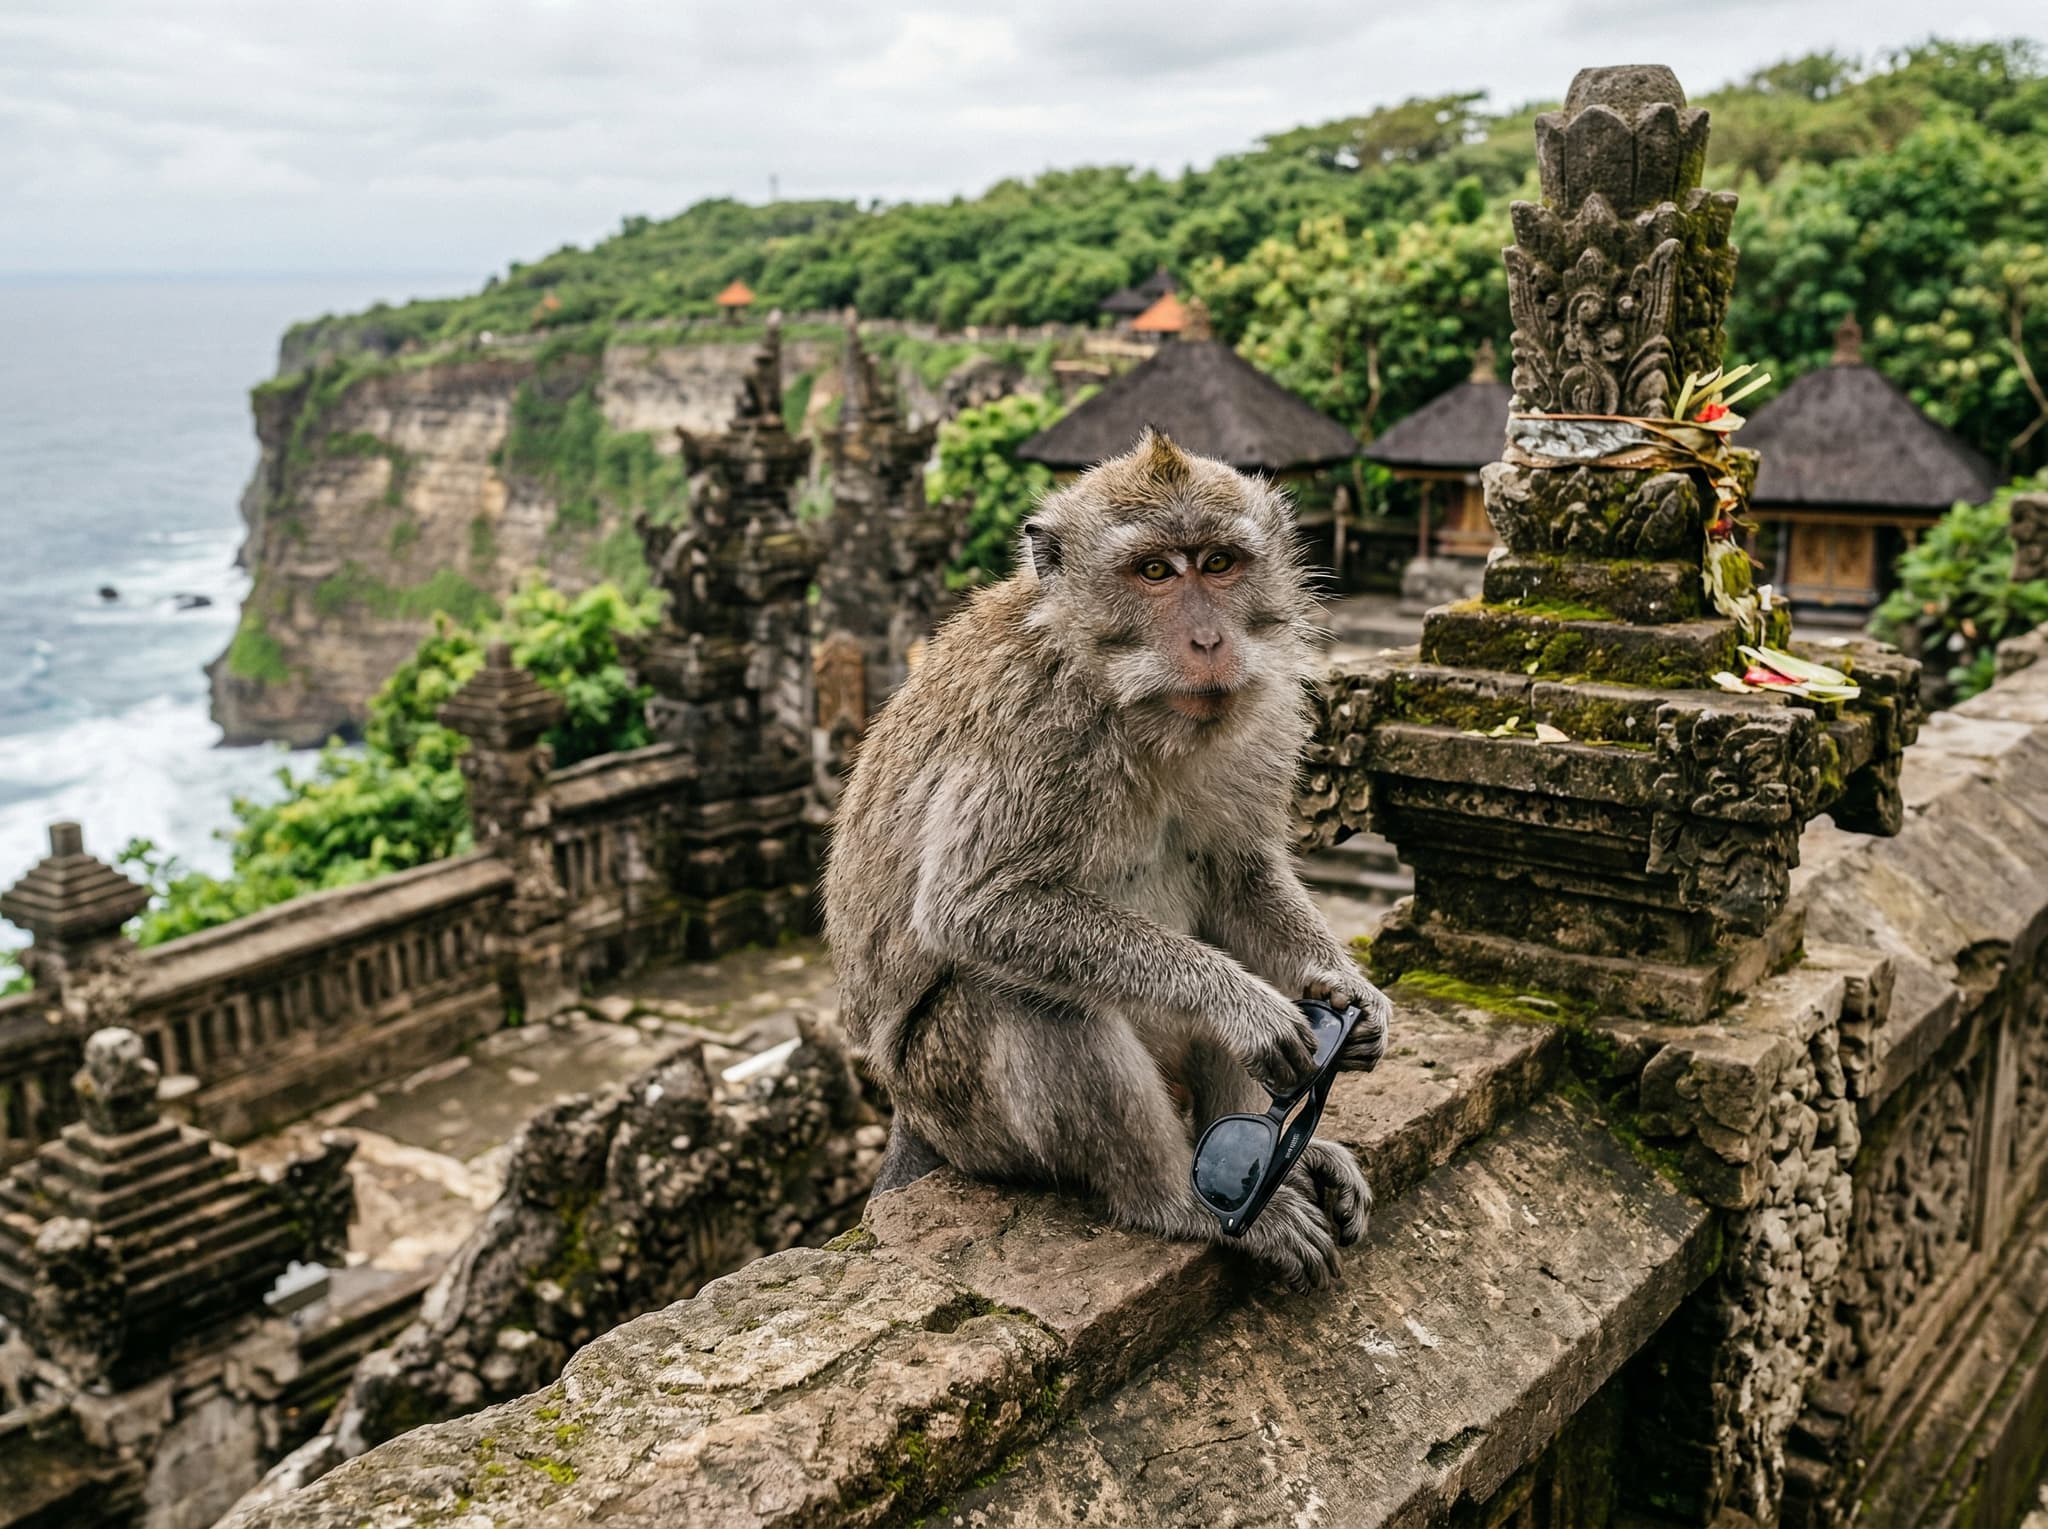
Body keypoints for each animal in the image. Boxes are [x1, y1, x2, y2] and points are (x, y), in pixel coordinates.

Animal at [824, 431, 1389, 1289]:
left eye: (1218, 563)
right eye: (1154, 572)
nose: (1208, 641)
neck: (1131, 699)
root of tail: (904, 1113)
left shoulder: (1261, 711)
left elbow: (1240, 874)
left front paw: (1350, 995)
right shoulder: (1035, 729)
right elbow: (977, 906)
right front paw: (1241, 1002)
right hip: (954, 1106)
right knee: (1024, 994)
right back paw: (1180, 1199)